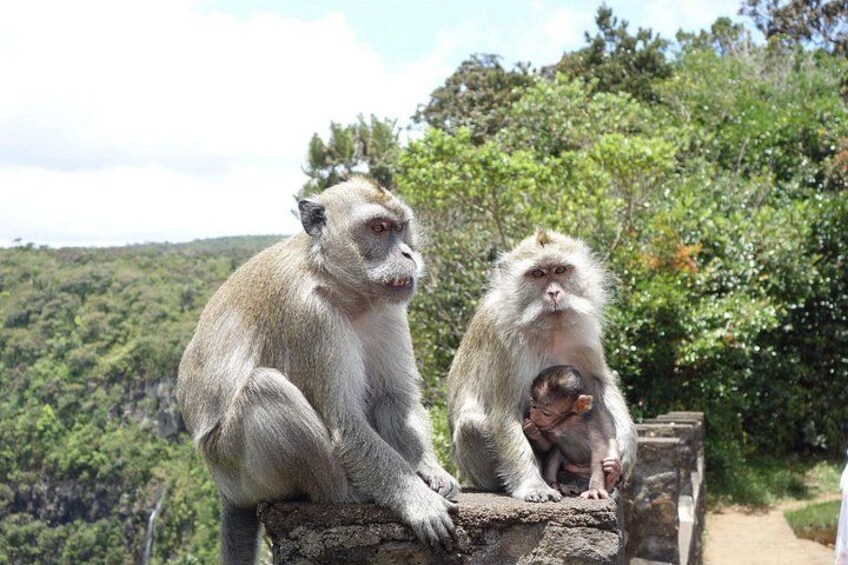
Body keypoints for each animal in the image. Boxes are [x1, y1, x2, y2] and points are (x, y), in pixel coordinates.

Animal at [177, 177, 459, 564]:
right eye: (378, 228)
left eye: (401, 228)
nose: (407, 255)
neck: (339, 286)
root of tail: (225, 490)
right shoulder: (310, 317)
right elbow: (346, 424)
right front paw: (418, 501)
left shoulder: (388, 309)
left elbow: (394, 399)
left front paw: (430, 471)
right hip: (233, 465)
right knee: (266, 389)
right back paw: (347, 493)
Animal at [522, 365, 619, 500]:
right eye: (533, 406)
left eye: (546, 413)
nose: (534, 416)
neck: (567, 421)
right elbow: (548, 446)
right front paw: (532, 430)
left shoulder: (593, 421)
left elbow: (599, 450)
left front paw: (595, 489)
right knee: (557, 450)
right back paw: (557, 485)